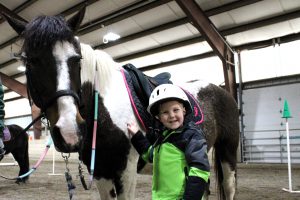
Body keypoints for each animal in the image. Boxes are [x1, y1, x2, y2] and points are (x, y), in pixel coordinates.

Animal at [2, 8, 239, 200]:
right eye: (31, 61)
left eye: (77, 59)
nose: (70, 132)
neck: (103, 110)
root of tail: (221, 90)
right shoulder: (101, 172)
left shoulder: (126, 170)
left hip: (228, 153)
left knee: (229, 188)